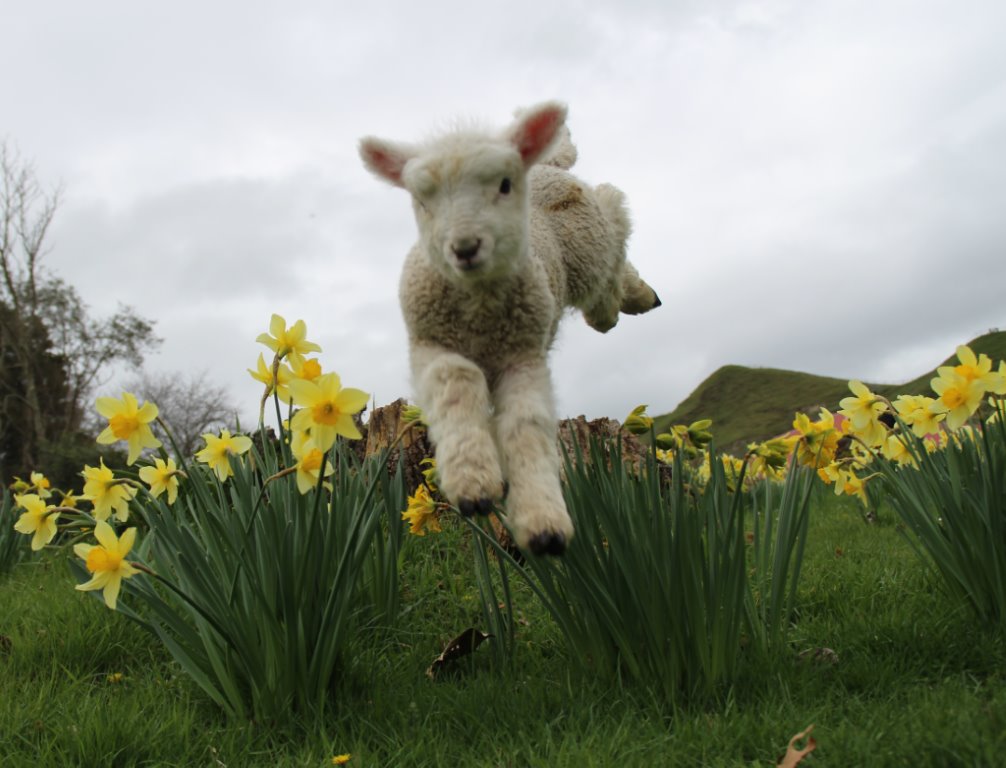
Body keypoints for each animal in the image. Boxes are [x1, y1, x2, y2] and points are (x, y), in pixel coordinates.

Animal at [359, 101, 660, 555]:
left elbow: (526, 424)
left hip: (588, 241)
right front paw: (473, 484)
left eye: (503, 184)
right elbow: (458, 383)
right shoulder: (432, 343)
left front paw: (544, 524)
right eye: (422, 199)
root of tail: (546, 164)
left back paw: (631, 299)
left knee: (614, 218)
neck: (478, 307)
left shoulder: (524, 354)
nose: (465, 248)